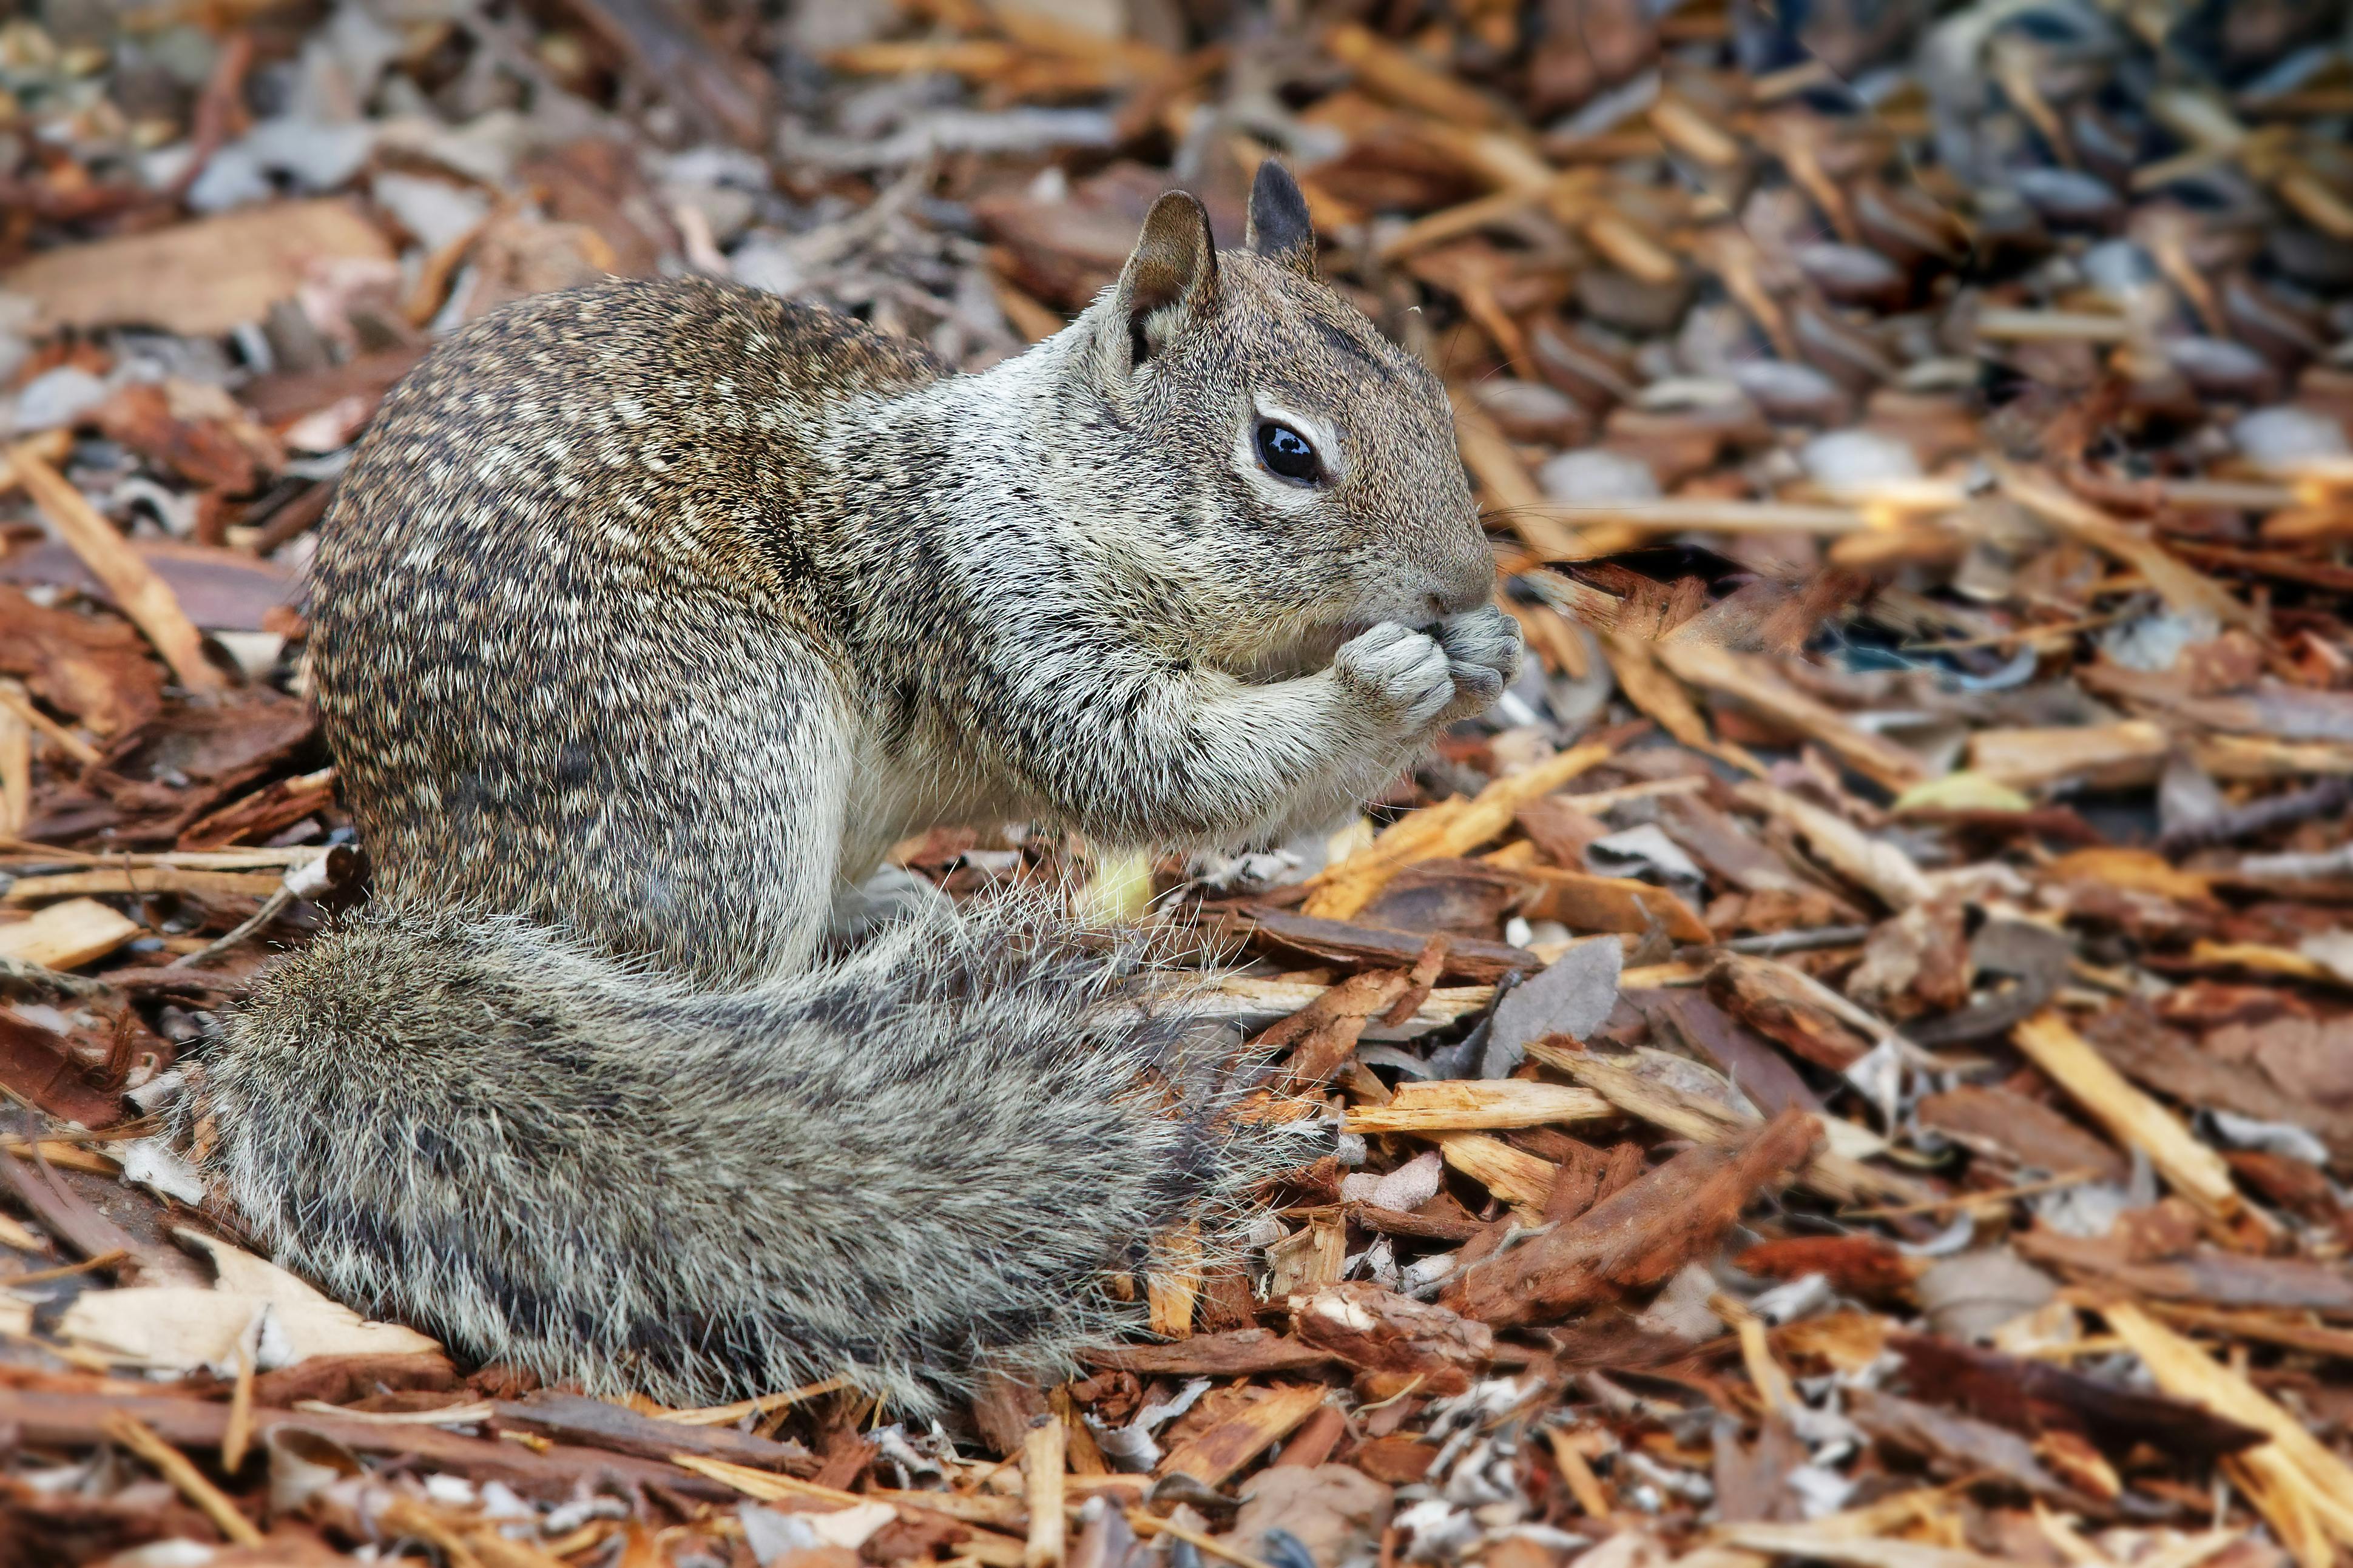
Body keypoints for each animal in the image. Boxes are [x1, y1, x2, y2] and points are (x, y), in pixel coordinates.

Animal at [182, 162, 1523, 1411]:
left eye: (1428, 395)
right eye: (1285, 450)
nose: (1466, 579)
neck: (1037, 480)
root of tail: (429, 888)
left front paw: (1484, 653)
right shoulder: (1005, 614)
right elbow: (1156, 766)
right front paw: (1381, 687)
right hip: (721, 764)